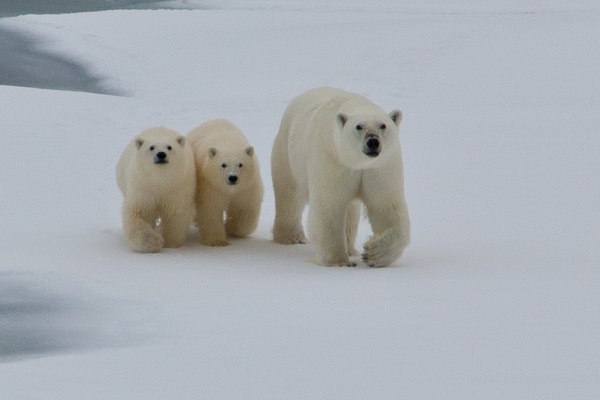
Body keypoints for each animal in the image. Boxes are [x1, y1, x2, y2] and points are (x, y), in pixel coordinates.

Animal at [274, 88, 410, 268]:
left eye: (383, 125)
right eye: (359, 126)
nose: (373, 142)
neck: (358, 163)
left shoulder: (380, 168)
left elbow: (387, 207)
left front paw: (373, 253)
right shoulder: (332, 160)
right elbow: (329, 206)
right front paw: (339, 262)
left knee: (351, 212)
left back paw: (351, 249)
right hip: (288, 153)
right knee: (289, 194)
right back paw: (292, 237)